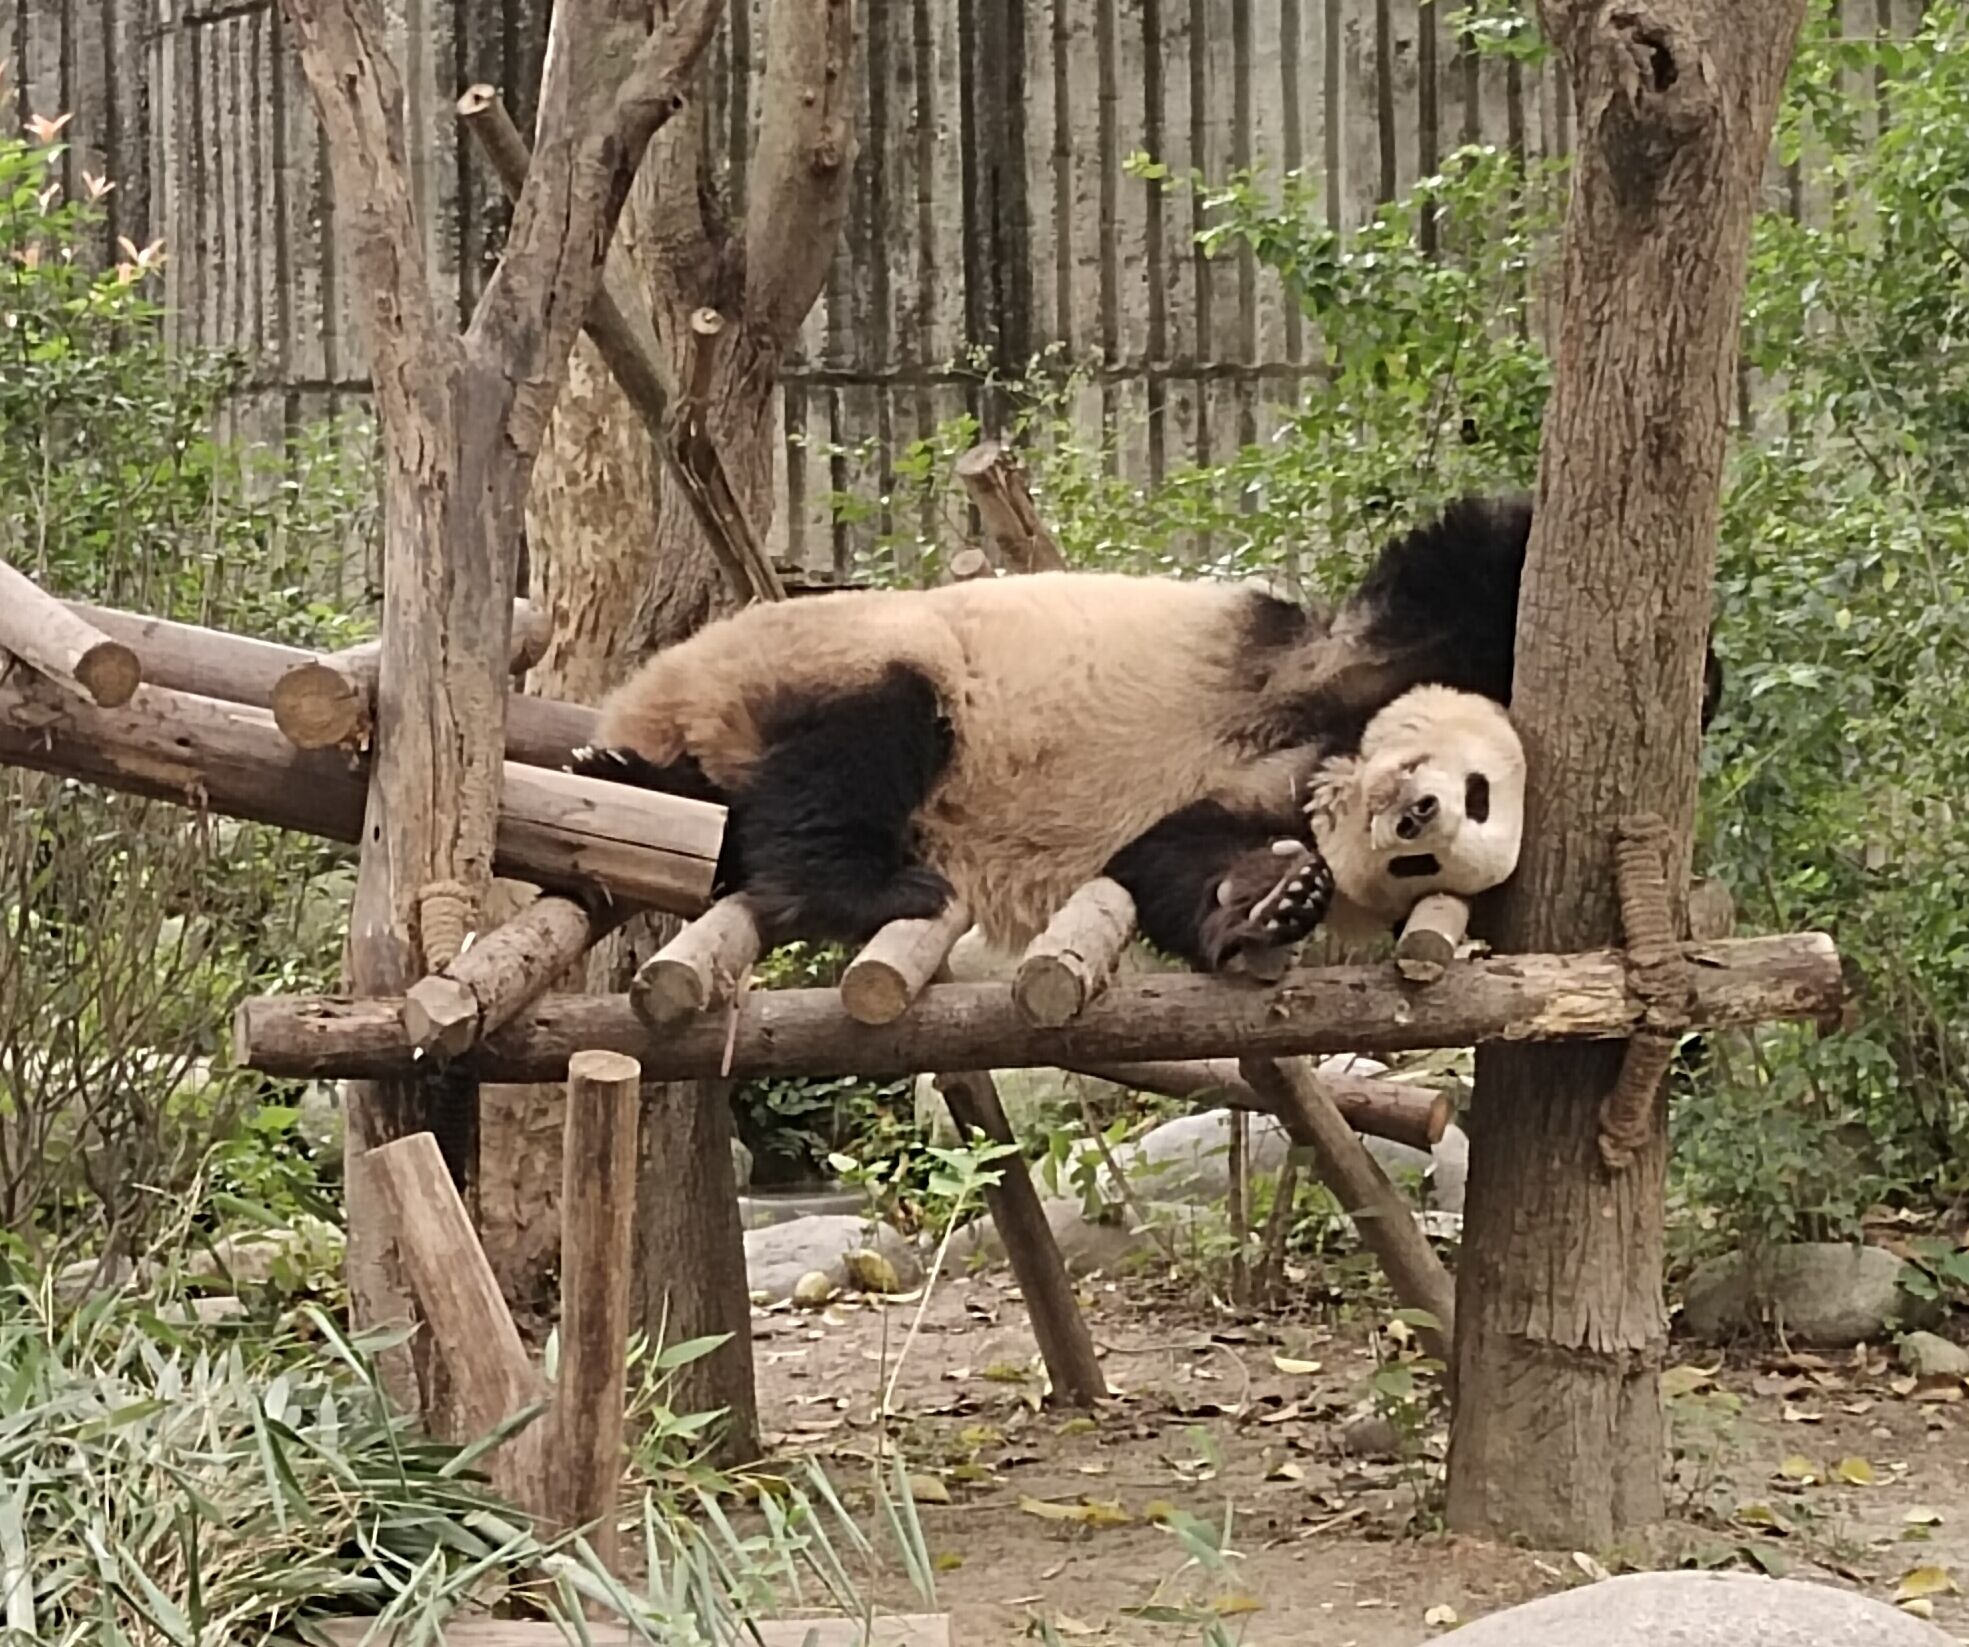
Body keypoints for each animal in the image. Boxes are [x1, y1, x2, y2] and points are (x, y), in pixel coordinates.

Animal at [568, 493, 1723, 973]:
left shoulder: (1252, 793)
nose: (1415, 810)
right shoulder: (1337, 663)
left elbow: (1169, 856)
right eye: (1474, 794)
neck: (1331, 759)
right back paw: (864, 882)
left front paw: (1273, 897)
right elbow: (1476, 565)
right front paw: (1703, 667)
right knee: (871, 737)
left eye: (1422, 861)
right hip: (834, 651)